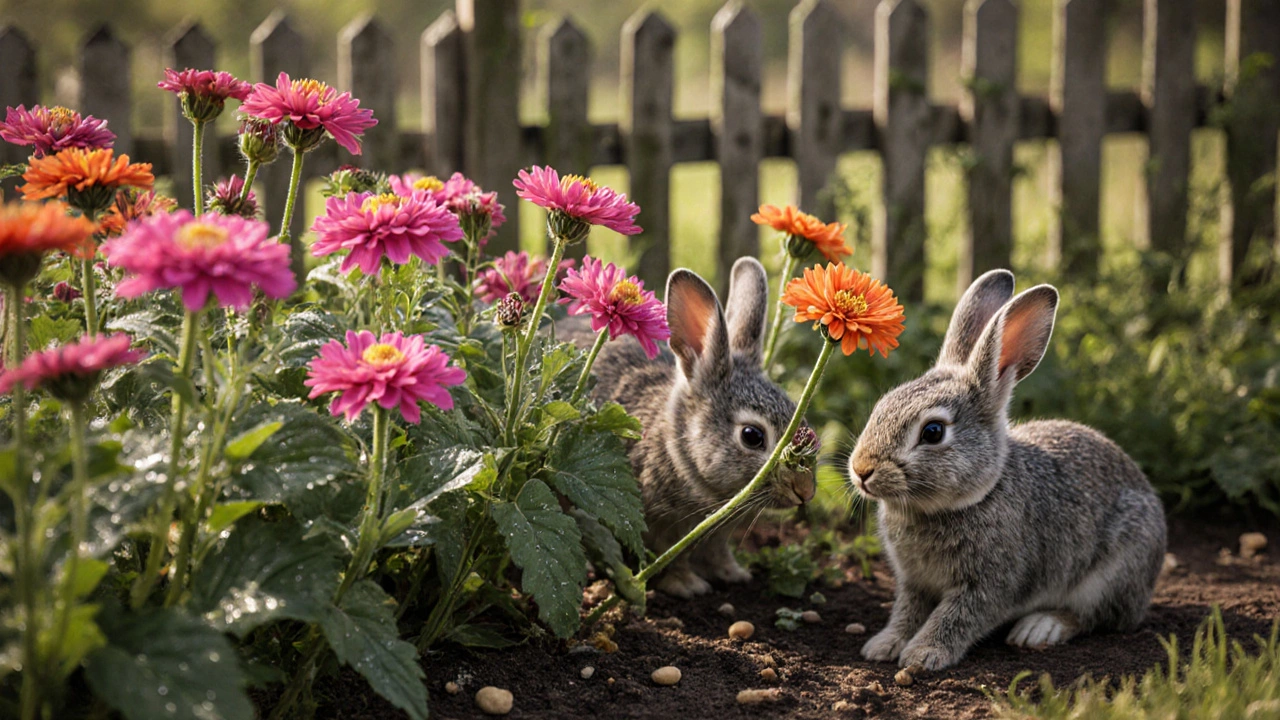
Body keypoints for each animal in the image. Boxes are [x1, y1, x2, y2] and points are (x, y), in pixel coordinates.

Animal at [563, 257, 816, 598]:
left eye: (799, 416)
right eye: (752, 436)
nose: (805, 491)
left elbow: (717, 551)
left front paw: (733, 574)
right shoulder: (658, 526)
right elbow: (668, 557)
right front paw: (687, 586)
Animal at [847, 269, 1166, 671]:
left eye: (932, 432)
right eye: (881, 406)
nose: (862, 470)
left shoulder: (992, 583)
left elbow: (956, 616)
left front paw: (923, 654)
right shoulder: (914, 582)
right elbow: (907, 612)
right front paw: (884, 645)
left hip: (1112, 574)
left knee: (1094, 616)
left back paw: (1039, 628)